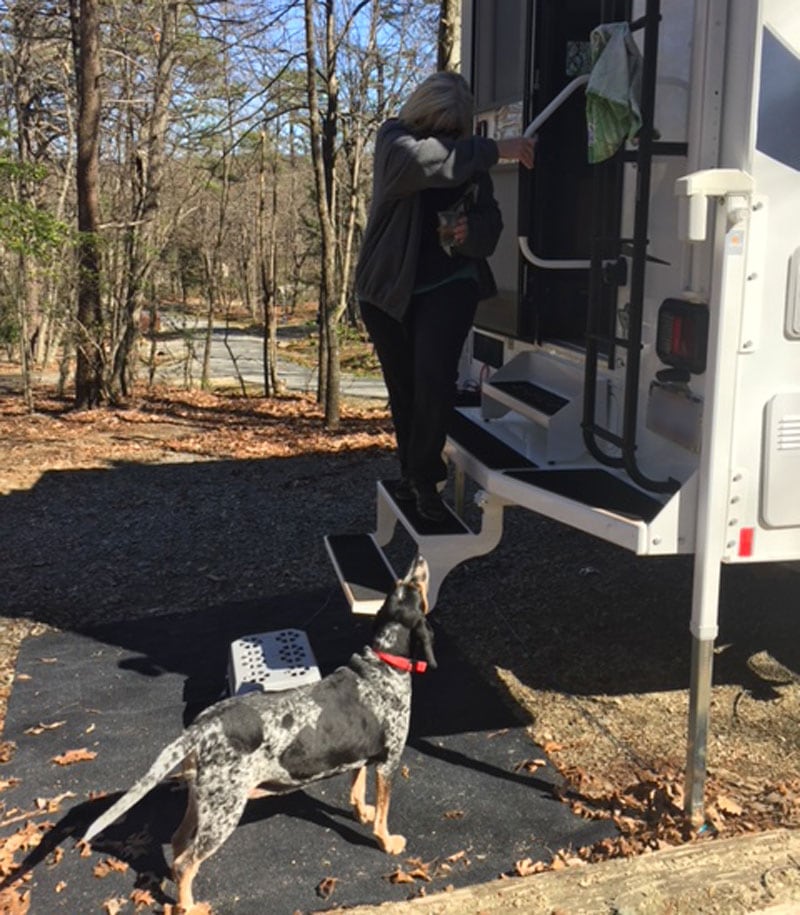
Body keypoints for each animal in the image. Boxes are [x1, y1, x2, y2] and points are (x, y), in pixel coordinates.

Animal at [84, 556, 434, 912]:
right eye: (415, 585)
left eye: (402, 583)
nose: (418, 560)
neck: (382, 662)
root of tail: (198, 729)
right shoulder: (389, 762)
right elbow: (383, 814)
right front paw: (386, 841)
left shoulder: (359, 757)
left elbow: (357, 790)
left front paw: (362, 813)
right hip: (224, 813)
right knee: (186, 863)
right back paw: (191, 906)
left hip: (203, 802)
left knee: (179, 843)